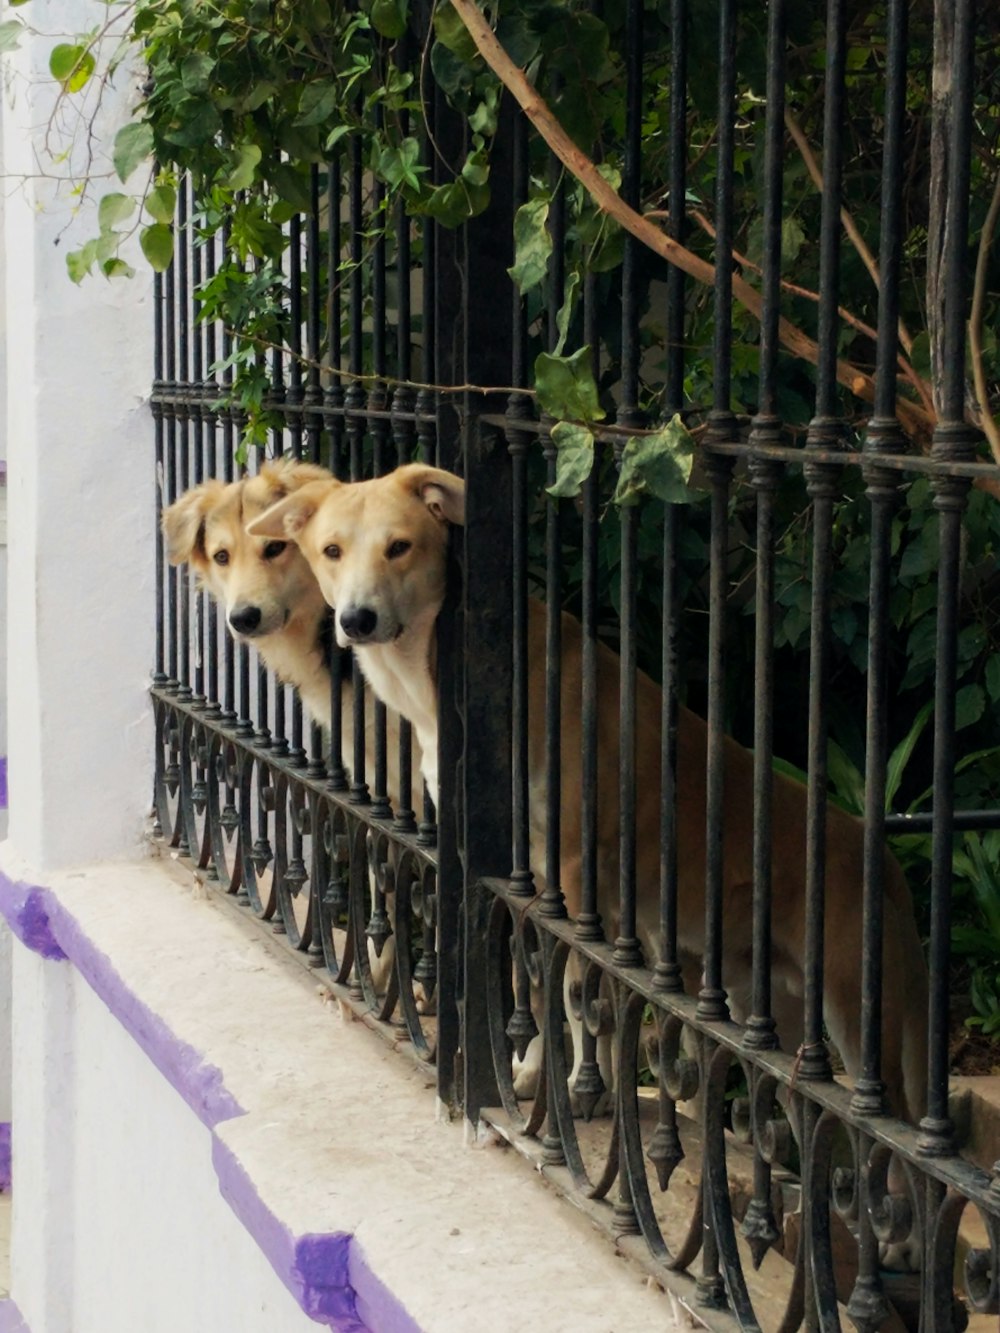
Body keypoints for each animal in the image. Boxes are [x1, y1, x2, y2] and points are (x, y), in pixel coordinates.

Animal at [249, 461, 933, 1125]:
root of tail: (882, 857)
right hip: (770, 1012)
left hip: (853, 1010)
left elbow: (578, 996)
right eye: (332, 550)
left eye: (400, 547)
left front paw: (580, 1089)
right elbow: (537, 981)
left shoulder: (576, 867)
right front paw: (535, 1077)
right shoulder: (515, 870)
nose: (356, 620)